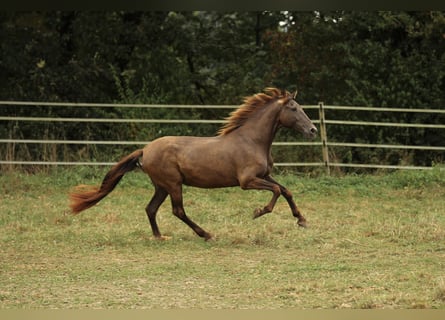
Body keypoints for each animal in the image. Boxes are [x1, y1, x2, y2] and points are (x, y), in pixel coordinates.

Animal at [69, 87, 318, 240]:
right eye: (294, 108)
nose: (313, 130)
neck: (252, 140)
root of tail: (145, 149)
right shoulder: (247, 181)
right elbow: (276, 190)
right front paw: (258, 212)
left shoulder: (264, 175)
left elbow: (286, 190)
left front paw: (302, 220)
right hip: (173, 184)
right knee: (178, 210)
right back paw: (206, 234)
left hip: (161, 186)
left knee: (151, 208)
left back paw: (159, 236)